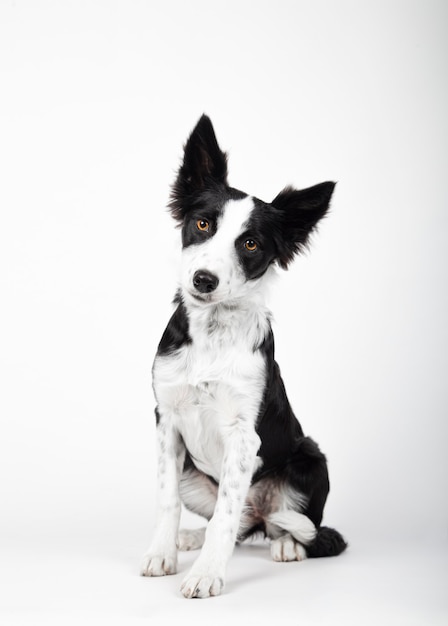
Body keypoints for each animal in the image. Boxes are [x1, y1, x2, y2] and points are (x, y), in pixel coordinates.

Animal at [141, 114, 346, 596]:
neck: (213, 335)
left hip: (311, 459)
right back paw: (192, 537)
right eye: (202, 225)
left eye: (250, 244)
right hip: (194, 473)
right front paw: (164, 553)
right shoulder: (166, 421)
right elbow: (168, 500)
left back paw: (288, 544)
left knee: (287, 525)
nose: (203, 280)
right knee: (239, 524)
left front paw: (206, 575)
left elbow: (225, 515)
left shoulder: (243, 436)